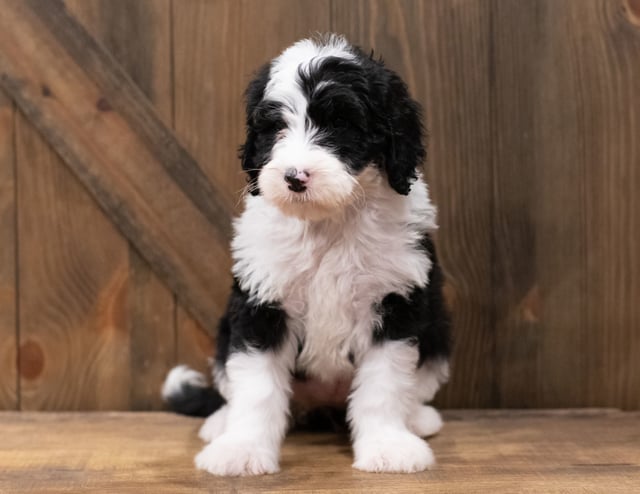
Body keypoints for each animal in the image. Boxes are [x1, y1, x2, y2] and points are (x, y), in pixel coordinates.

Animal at [161, 33, 450, 474]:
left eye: (341, 124)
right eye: (276, 127)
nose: (294, 177)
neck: (328, 221)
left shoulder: (395, 302)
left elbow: (384, 384)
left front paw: (387, 446)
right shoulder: (261, 304)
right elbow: (256, 386)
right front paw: (242, 449)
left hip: (438, 331)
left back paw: (417, 418)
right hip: (226, 330)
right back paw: (221, 423)